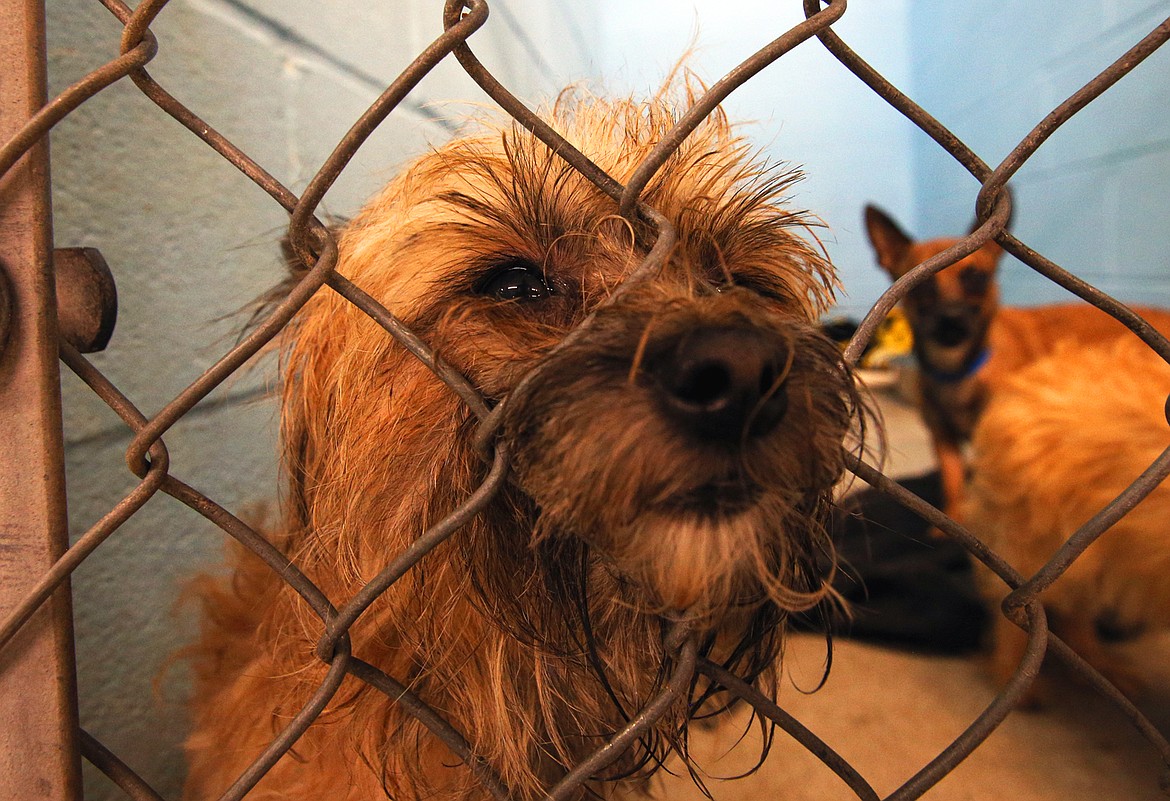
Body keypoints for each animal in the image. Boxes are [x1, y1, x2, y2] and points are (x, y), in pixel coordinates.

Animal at [865, 204, 1170, 530]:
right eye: (921, 286)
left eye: (976, 278)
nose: (951, 319)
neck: (960, 369)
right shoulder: (943, 440)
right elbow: (953, 487)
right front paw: (949, 526)